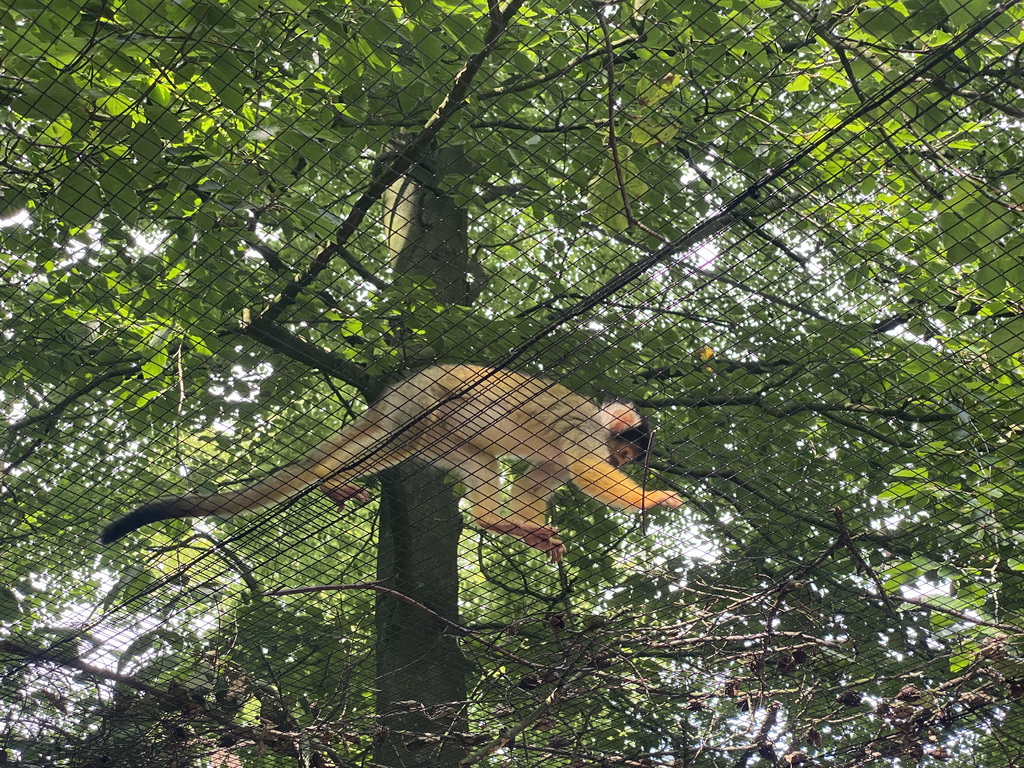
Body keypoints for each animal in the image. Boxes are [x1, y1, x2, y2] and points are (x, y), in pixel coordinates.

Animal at [101, 364, 679, 561]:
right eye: (627, 451)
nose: (627, 459)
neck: (600, 427)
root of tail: (403, 385)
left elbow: (542, 480)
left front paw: (530, 529)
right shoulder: (583, 431)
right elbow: (585, 469)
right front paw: (650, 498)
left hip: (447, 437)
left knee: (475, 458)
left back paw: (495, 522)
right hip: (424, 401)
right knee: (402, 434)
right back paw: (337, 477)